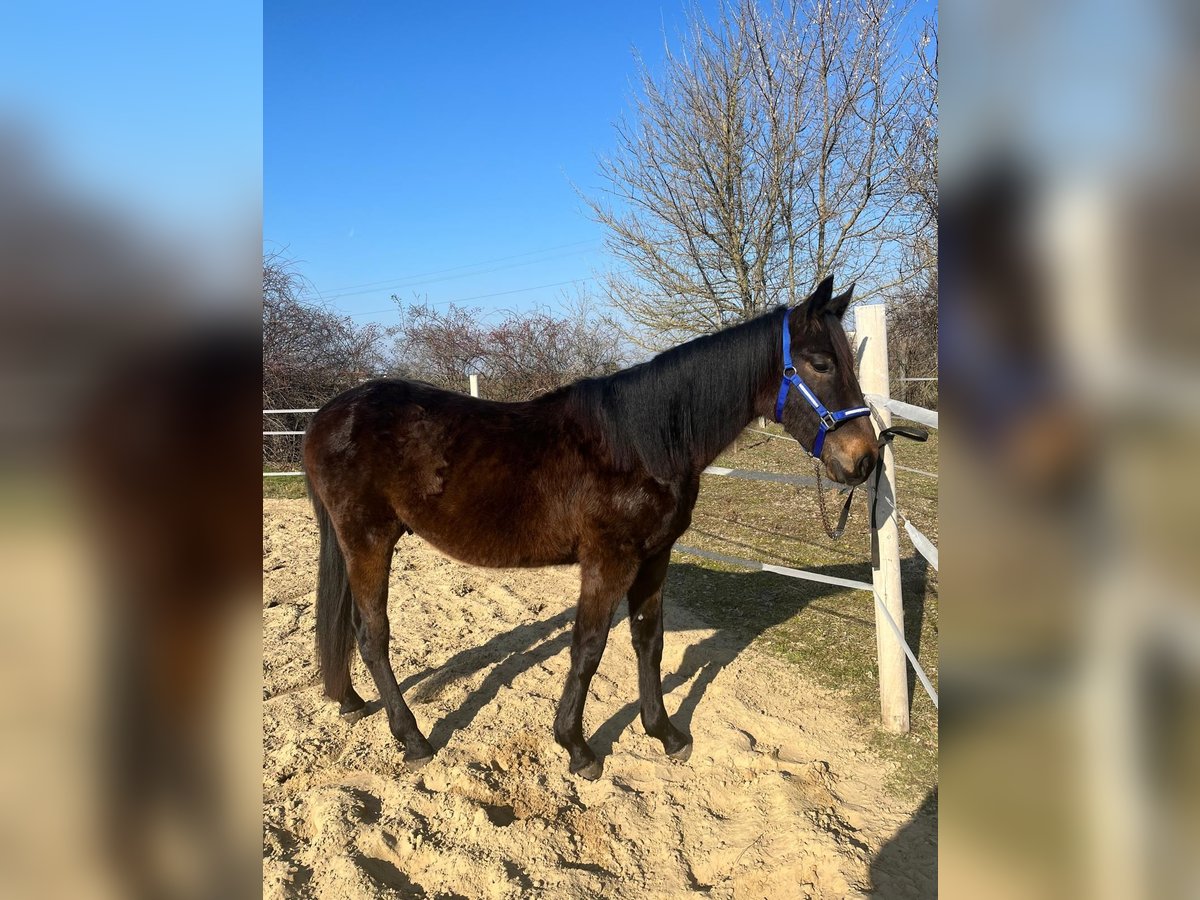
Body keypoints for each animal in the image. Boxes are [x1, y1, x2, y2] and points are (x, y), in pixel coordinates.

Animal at [304, 277, 878, 782]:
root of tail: (327, 415)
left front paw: (665, 733)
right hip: (368, 541)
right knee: (373, 636)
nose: (865, 460)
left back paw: (352, 701)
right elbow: (588, 648)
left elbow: (649, 641)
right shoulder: (609, 560)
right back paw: (413, 739)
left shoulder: (654, 557)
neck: (644, 443)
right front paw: (577, 747)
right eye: (821, 363)